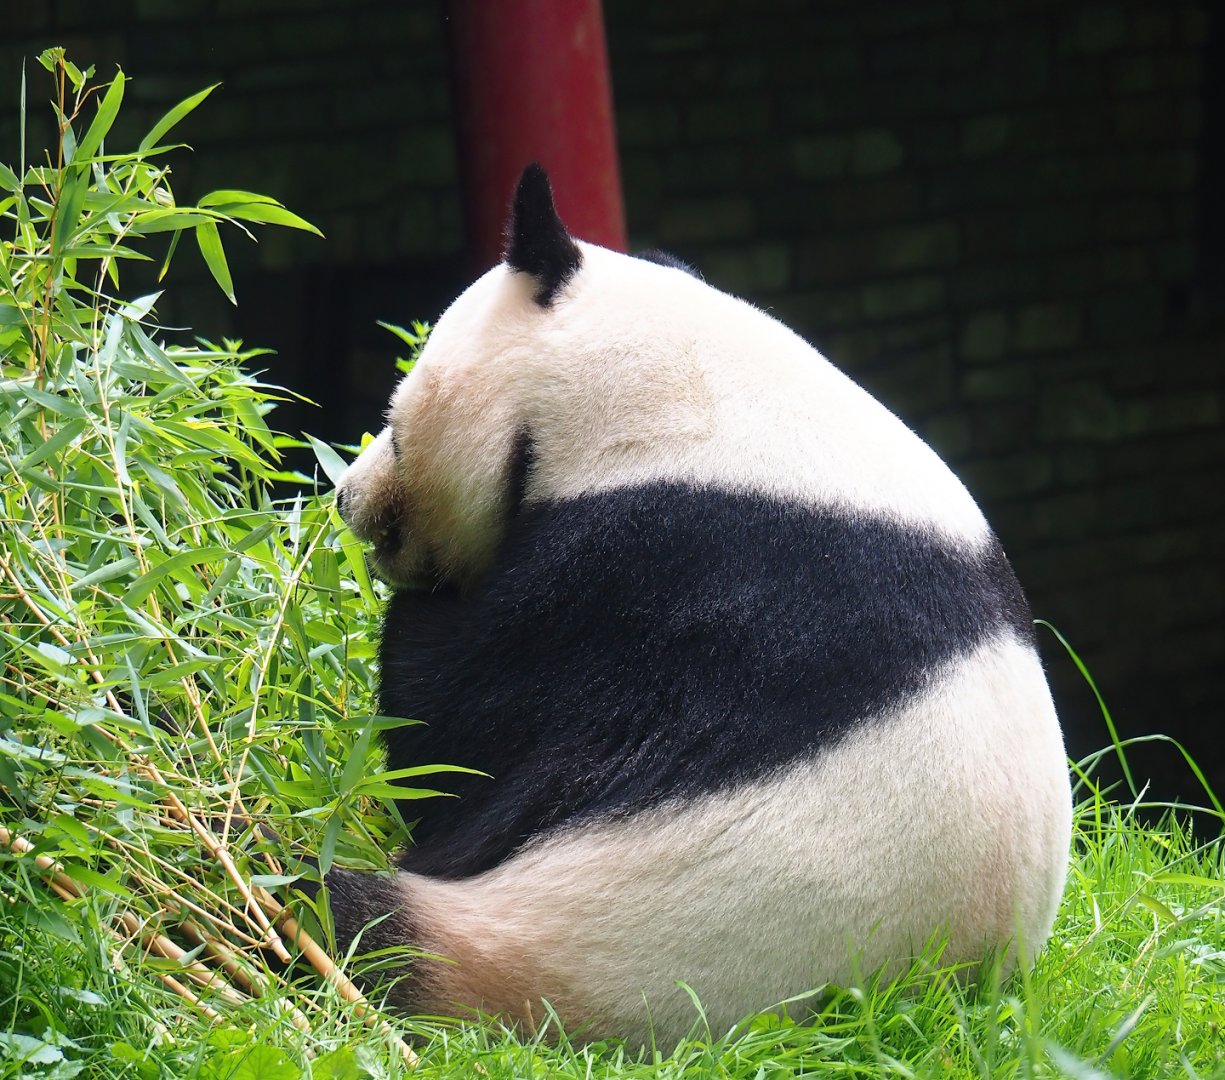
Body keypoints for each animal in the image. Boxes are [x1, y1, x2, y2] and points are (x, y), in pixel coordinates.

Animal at [330, 164, 1072, 1045]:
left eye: (395, 420)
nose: (346, 496)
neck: (682, 393)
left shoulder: (663, 565)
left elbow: (465, 726)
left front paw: (424, 620)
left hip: (613, 925)